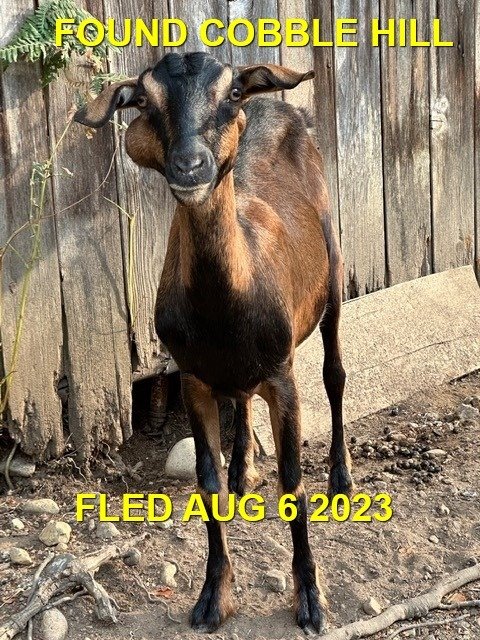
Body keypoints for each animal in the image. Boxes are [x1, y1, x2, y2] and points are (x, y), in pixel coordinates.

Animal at [74, 51, 352, 634]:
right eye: (144, 100)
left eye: (231, 93)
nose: (190, 166)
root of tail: (281, 106)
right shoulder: (194, 378)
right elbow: (207, 483)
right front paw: (212, 597)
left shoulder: (281, 376)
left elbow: (293, 483)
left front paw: (310, 599)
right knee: (240, 399)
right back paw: (245, 470)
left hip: (334, 271)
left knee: (335, 373)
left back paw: (341, 478)